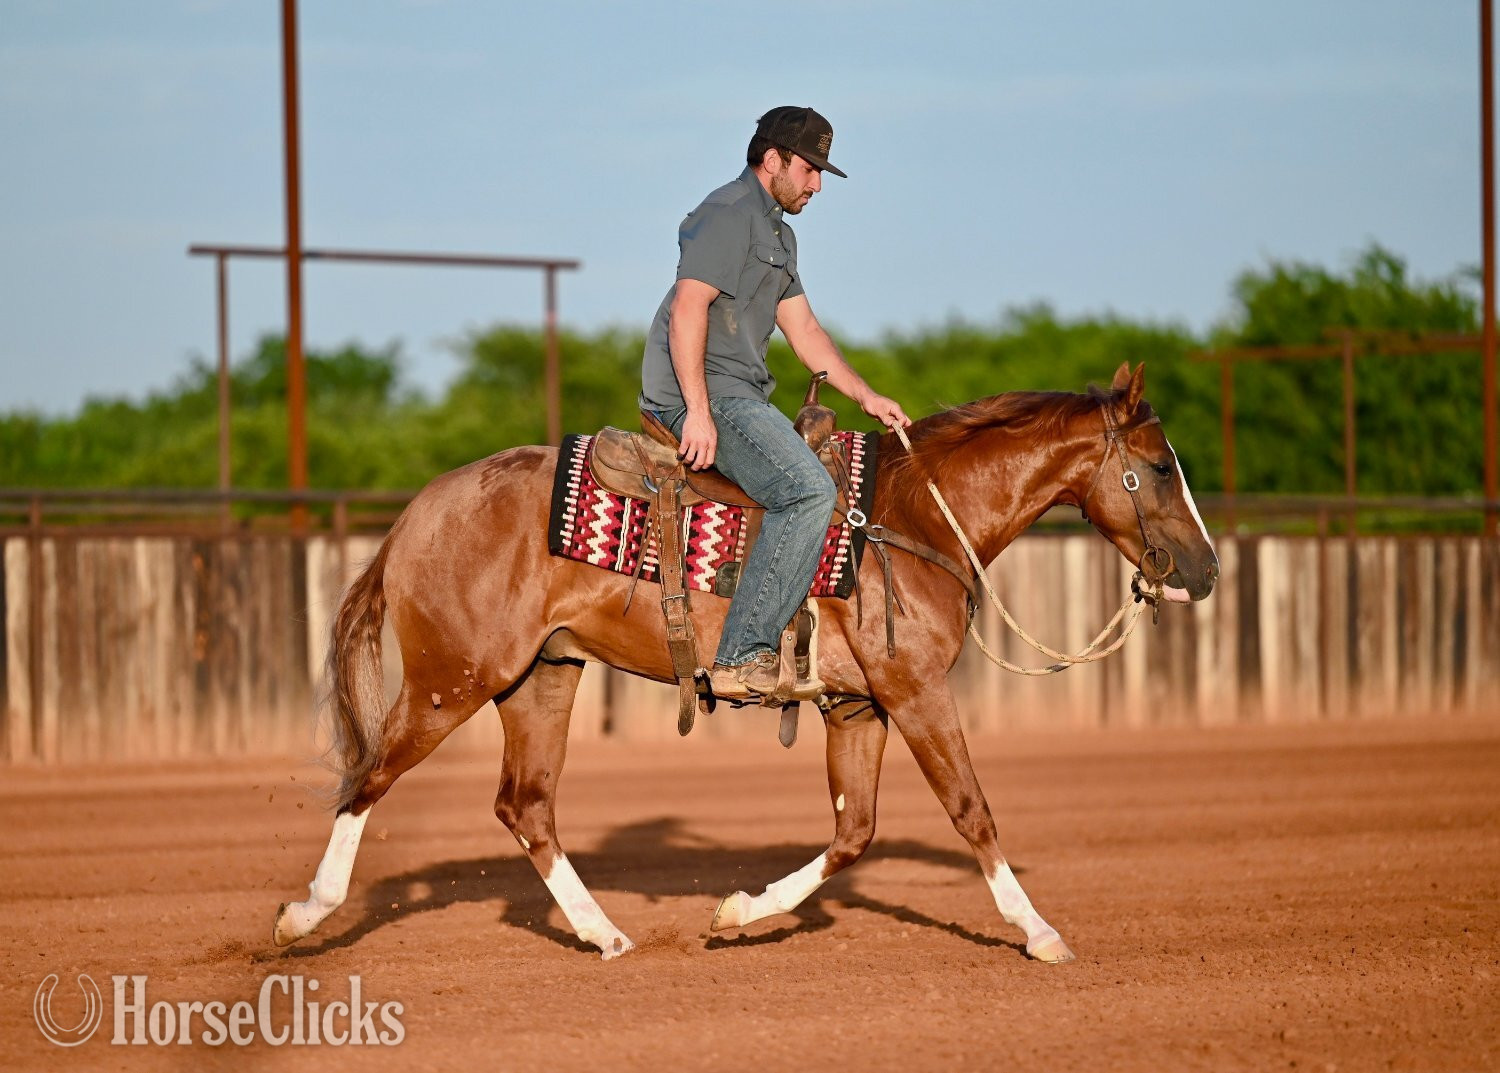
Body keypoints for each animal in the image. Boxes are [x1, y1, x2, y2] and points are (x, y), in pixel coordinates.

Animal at [273, 362, 1218, 963]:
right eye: (1159, 467)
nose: (1206, 570)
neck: (912, 517)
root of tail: (415, 514)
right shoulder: (916, 692)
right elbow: (972, 811)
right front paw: (1041, 932)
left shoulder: (857, 706)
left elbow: (853, 830)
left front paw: (739, 910)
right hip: (450, 681)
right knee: (369, 779)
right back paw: (303, 914)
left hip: (540, 678)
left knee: (525, 806)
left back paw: (604, 933)